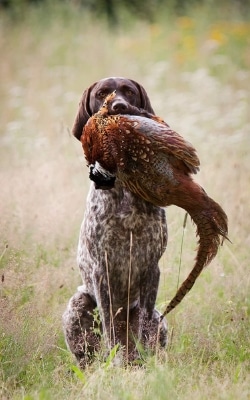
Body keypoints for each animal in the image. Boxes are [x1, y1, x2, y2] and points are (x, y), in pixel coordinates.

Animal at [62, 76, 168, 368]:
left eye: (129, 91)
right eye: (100, 94)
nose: (119, 106)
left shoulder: (151, 268)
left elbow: (144, 327)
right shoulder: (103, 271)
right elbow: (110, 329)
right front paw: (116, 363)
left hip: (160, 319)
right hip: (77, 304)